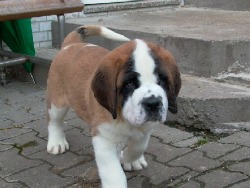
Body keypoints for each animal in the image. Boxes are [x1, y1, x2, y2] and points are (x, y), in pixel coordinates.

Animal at [46, 25, 180, 188]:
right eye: (130, 83)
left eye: (161, 81)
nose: (153, 103)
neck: (125, 118)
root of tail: (70, 45)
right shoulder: (104, 139)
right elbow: (114, 174)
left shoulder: (145, 129)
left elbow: (138, 146)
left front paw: (129, 159)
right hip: (56, 101)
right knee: (54, 121)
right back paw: (56, 142)